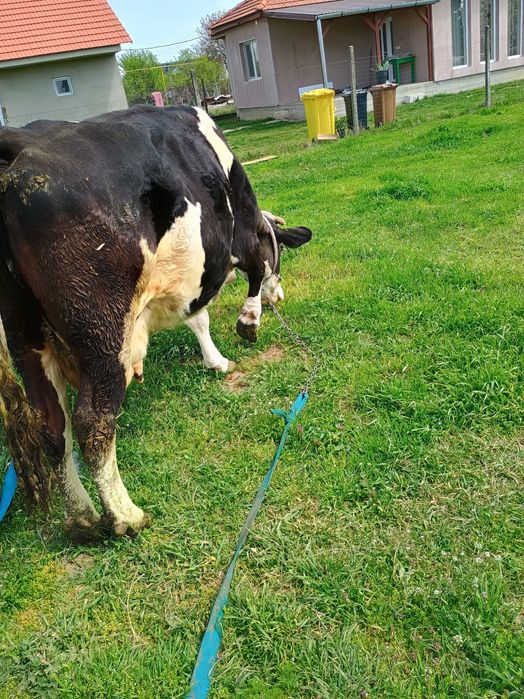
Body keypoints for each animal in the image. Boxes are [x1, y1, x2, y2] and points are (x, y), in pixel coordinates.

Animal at [0, 105, 311, 542]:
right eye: (279, 248)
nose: (279, 296)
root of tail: (21, 155)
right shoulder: (242, 234)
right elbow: (251, 270)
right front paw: (248, 322)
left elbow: (198, 318)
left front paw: (215, 360)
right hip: (102, 334)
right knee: (91, 422)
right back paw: (126, 516)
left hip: (25, 334)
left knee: (52, 425)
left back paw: (81, 519)